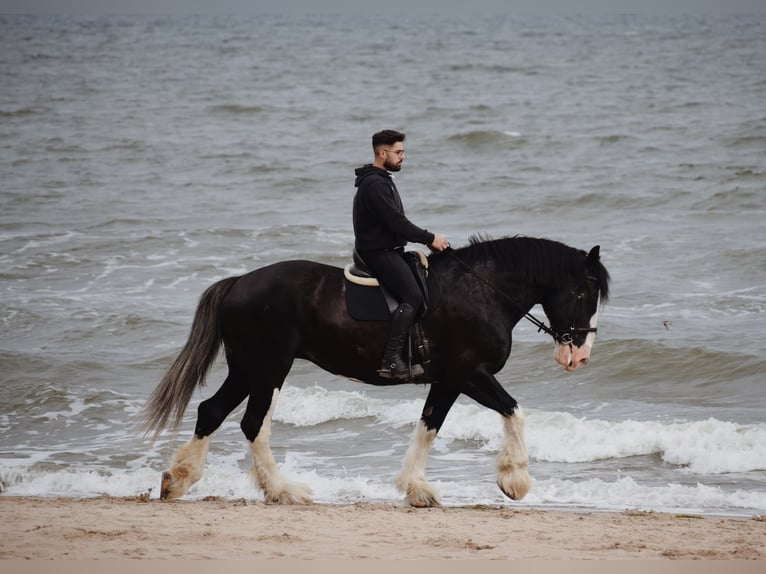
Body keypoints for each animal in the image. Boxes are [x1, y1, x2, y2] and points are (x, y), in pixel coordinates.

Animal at [141, 235, 610, 507]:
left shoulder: (447, 380)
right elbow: (514, 410)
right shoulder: (469, 374)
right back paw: (273, 490)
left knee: (220, 414)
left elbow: (429, 426)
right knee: (244, 420)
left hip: (252, 368)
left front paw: (416, 488)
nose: (581, 356)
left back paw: (189, 482)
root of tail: (239, 283)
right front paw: (514, 481)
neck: (481, 291)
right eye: (584, 293)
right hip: (267, 367)